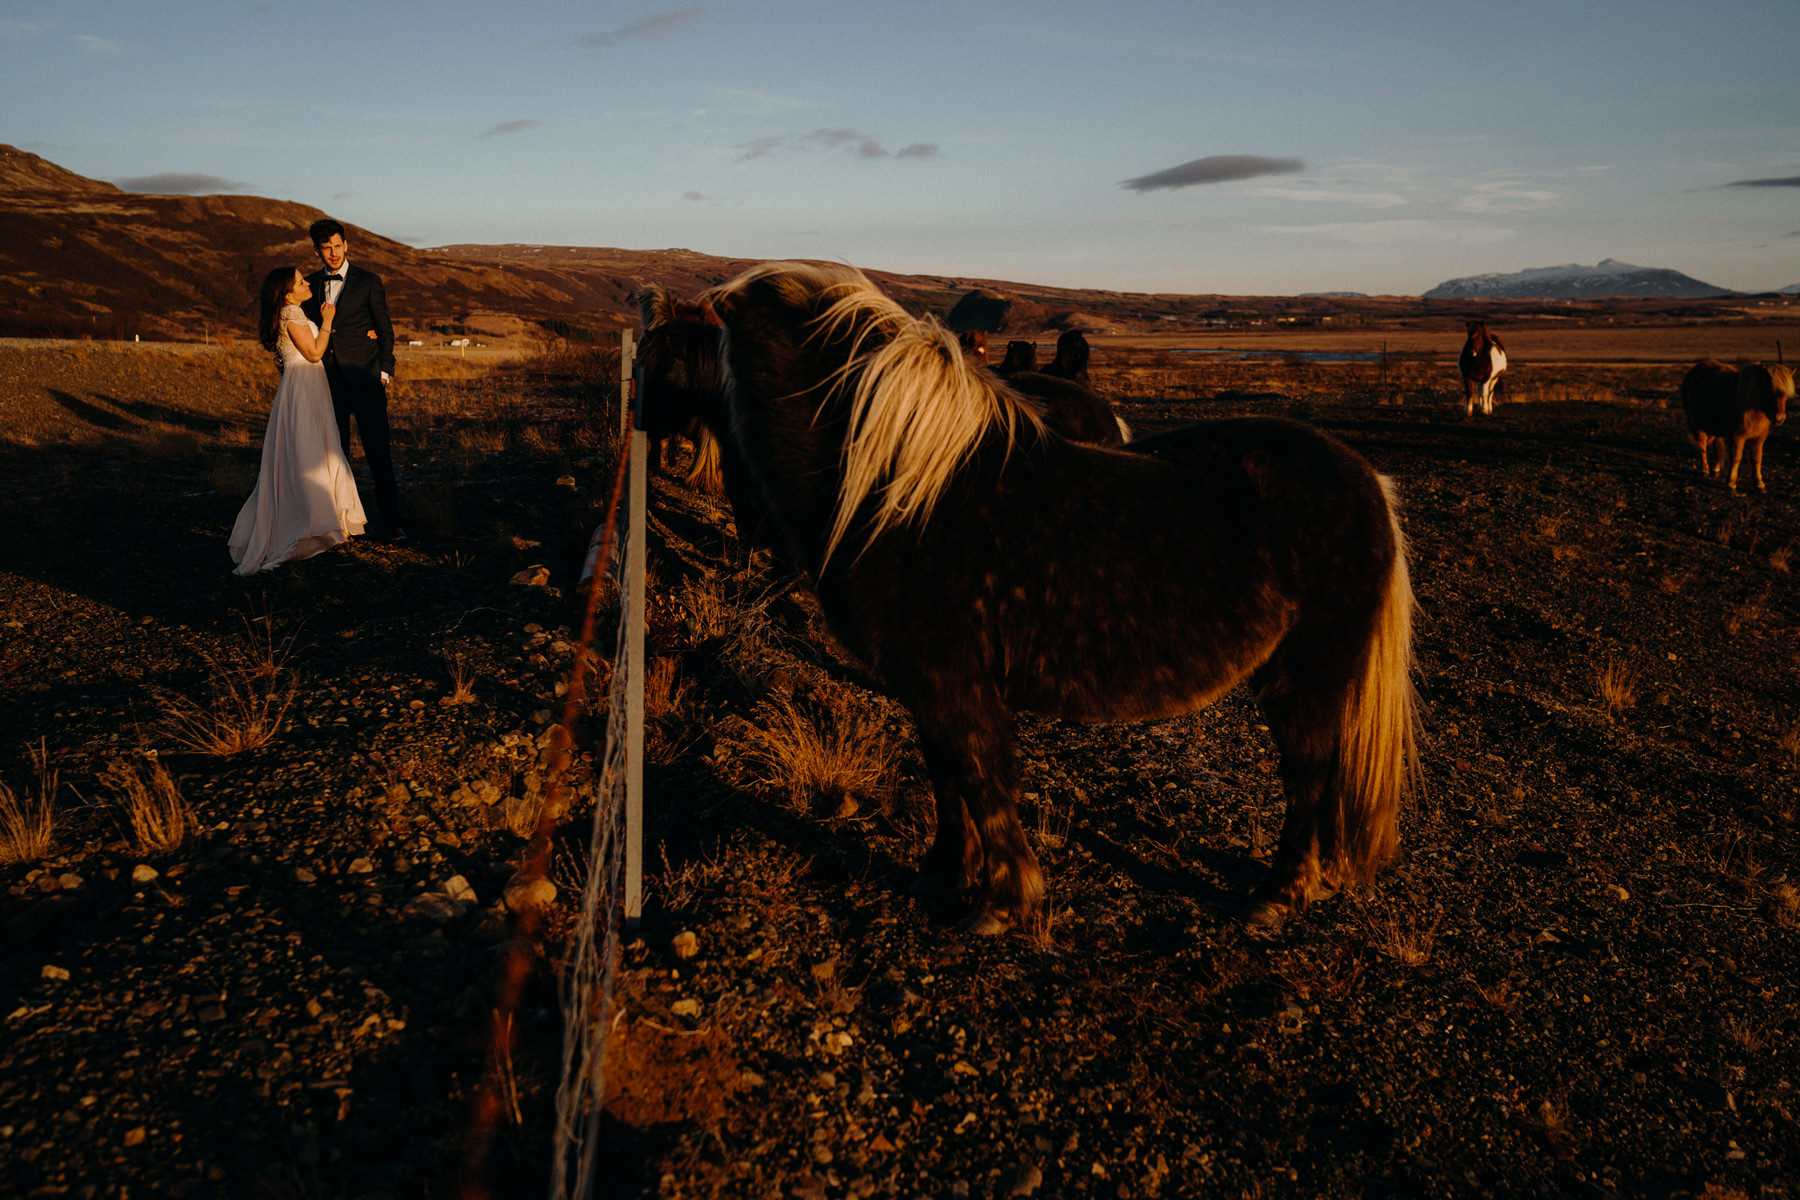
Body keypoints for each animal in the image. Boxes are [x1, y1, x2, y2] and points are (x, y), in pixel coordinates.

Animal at [662, 262, 1418, 935]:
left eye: (694, 348)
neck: (897, 493)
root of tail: (1370, 480)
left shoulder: (955, 684)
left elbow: (983, 783)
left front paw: (1002, 903)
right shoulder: (927, 686)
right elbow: (948, 782)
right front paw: (943, 875)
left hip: (1308, 678)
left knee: (1310, 778)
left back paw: (1278, 895)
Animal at [1677, 359, 1792, 489]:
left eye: (1786, 395)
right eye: (1769, 391)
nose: (1779, 418)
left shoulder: (1759, 437)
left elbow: (1756, 458)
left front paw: (1758, 482)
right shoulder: (1737, 436)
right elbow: (1736, 457)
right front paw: (1731, 482)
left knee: (1710, 442)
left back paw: (1715, 467)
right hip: (1696, 424)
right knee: (1702, 445)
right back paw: (1704, 470)